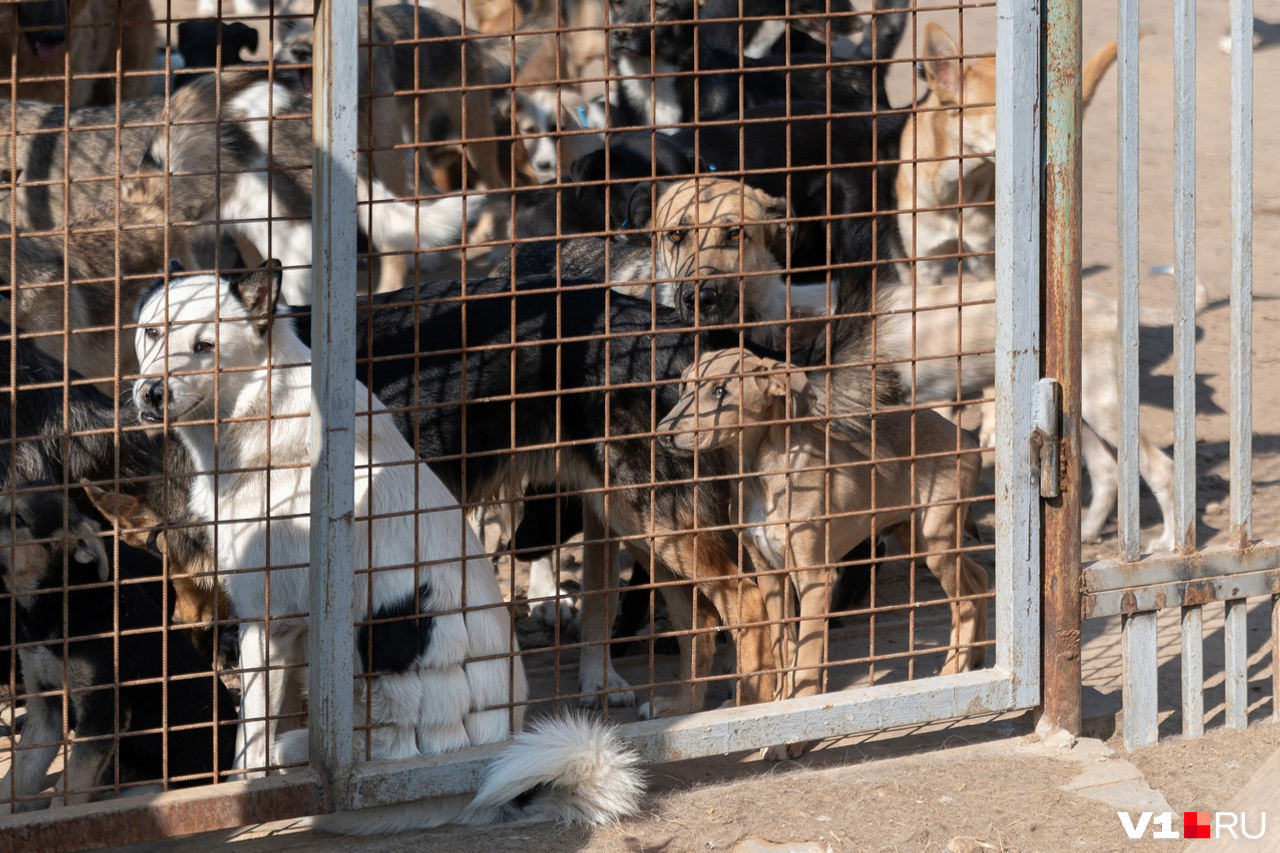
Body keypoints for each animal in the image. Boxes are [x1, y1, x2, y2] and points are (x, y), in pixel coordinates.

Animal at [132, 258, 640, 829]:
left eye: (205, 346)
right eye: (152, 333)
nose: (150, 393)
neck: (261, 411)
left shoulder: (269, 623)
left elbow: (253, 738)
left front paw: (247, 791)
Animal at [660, 350, 988, 758]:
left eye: (720, 391)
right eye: (684, 387)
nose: (663, 433)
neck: (760, 475)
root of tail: (965, 435)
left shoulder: (815, 579)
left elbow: (807, 658)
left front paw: (796, 735)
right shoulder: (770, 575)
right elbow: (783, 650)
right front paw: (778, 711)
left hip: (937, 538)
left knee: (967, 598)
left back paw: (952, 672)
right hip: (916, 536)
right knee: (980, 578)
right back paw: (976, 659)